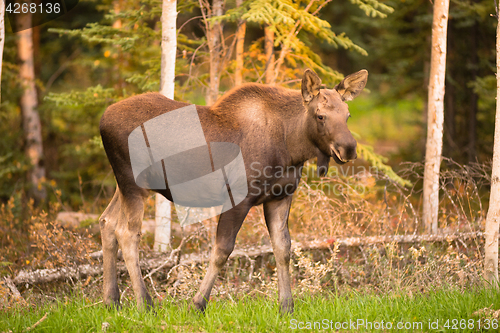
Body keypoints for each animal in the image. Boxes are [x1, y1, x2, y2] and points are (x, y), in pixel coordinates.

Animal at [98, 68, 368, 314]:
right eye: (320, 116)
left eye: (347, 115)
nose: (348, 148)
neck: (292, 148)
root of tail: (101, 121)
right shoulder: (238, 198)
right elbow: (222, 250)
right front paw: (197, 304)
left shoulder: (280, 197)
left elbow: (283, 249)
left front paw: (286, 307)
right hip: (133, 184)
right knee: (126, 232)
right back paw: (145, 304)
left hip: (123, 185)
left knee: (107, 221)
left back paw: (112, 301)